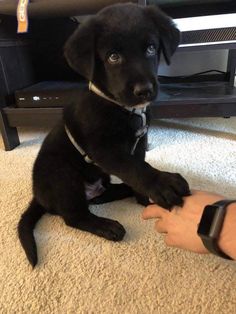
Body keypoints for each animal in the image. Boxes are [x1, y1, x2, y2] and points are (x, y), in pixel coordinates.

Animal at [18, 3, 190, 266]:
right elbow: (135, 167)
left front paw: (144, 197)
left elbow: (138, 164)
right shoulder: (103, 149)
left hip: (100, 177)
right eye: (113, 57)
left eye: (151, 48)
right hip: (63, 176)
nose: (144, 91)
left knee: (101, 193)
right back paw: (106, 226)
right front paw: (162, 183)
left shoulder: (139, 143)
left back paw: (109, 196)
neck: (122, 108)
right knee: (73, 215)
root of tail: (38, 197)